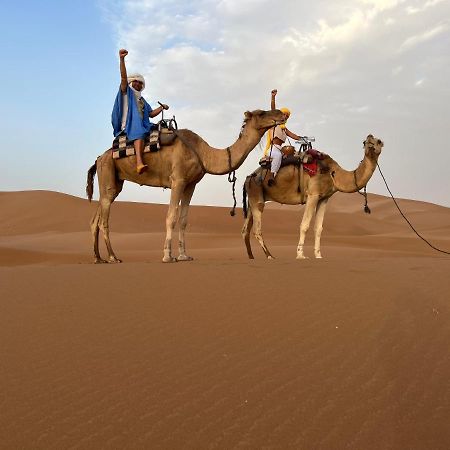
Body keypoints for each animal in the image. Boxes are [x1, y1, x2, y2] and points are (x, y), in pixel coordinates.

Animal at [86, 109, 286, 264]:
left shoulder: (191, 184)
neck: (204, 153)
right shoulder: (178, 180)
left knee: (96, 218)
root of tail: (99, 158)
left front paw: (183, 256)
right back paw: (113, 257)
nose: (282, 114)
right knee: (104, 219)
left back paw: (98, 258)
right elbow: (171, 217)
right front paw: (167, 256)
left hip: (113, 181)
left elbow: (183, 220)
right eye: (261, 113)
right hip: (108, 173)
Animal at [241, 133, 384, 260]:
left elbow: (318, 228)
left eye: (379, 141)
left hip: (252, 200)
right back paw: (270, 256)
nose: (370, 141)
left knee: (245, 230)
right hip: (256, 195)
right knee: (257, 229)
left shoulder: (324, 198)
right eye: (365, 142)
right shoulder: (312, 195)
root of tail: (248, 178)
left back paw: (251, 256)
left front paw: (319, 255)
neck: (333, 173)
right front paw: (300, 255)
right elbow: (304, 225)